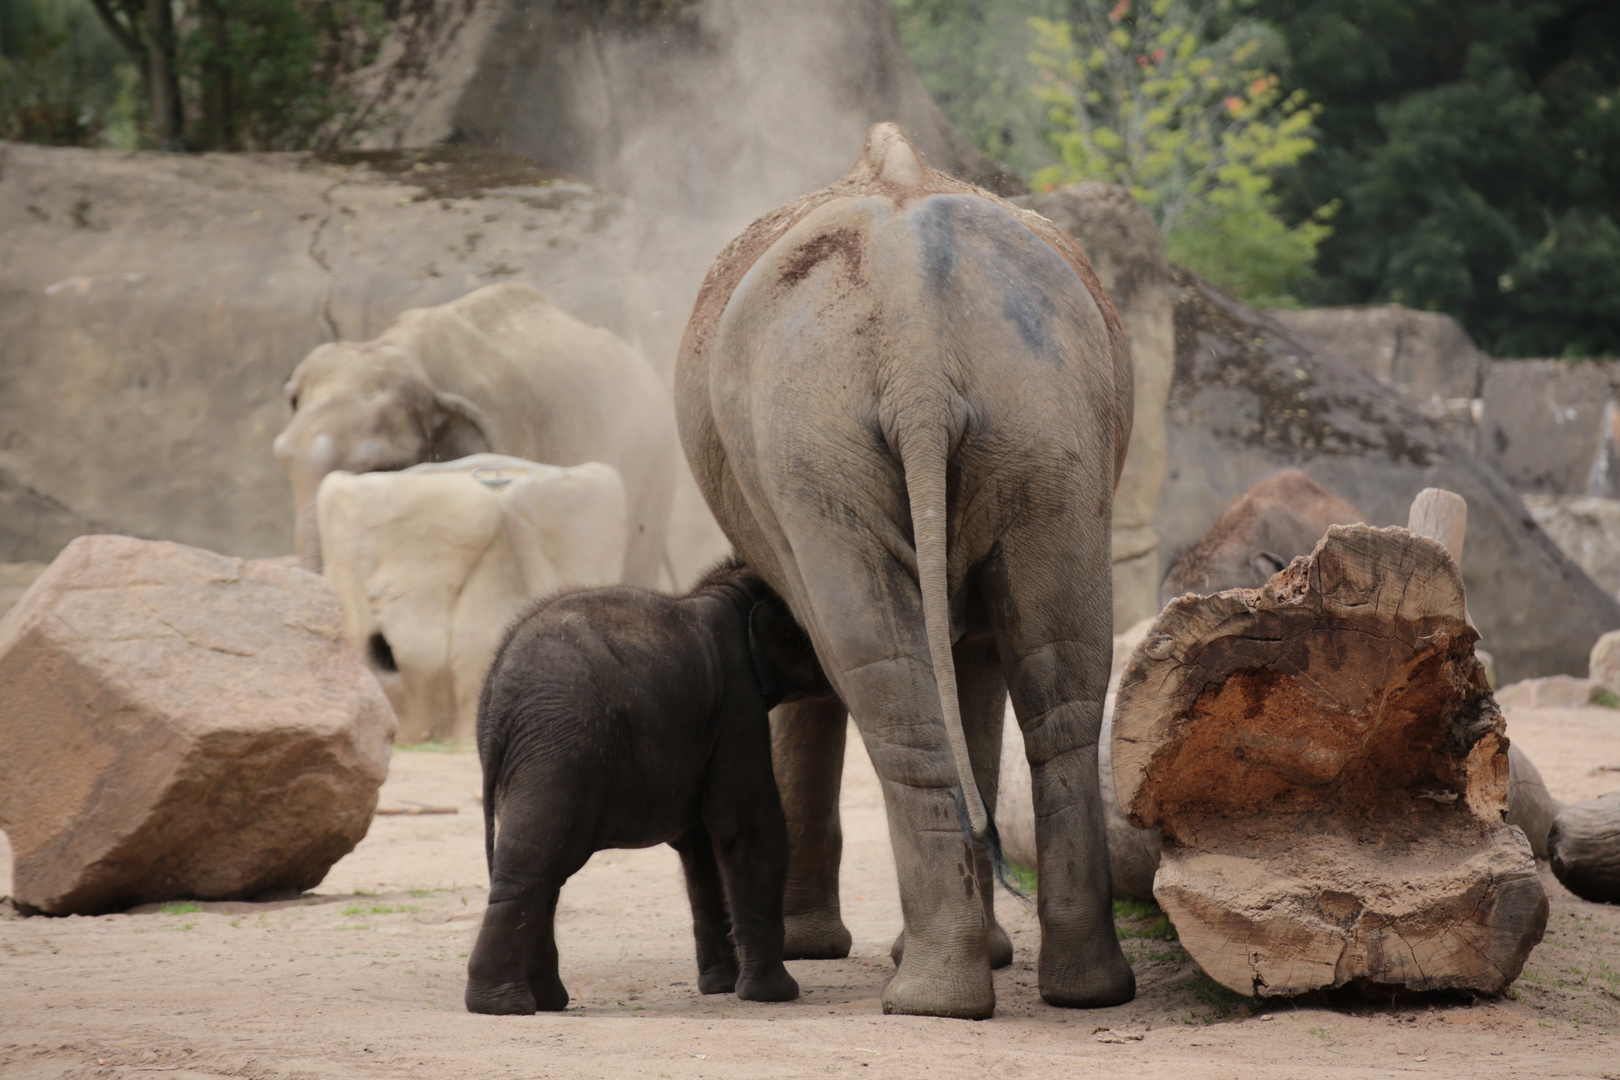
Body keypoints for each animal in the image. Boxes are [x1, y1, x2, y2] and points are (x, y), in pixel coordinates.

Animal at [466, 557, 822, 1016]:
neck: (727, 591)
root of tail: (496, 698)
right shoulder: (737, 706)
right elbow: (745, 828)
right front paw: (775, 995)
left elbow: (699, 843)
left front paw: (721, 988)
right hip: (559, 747)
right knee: (536, 859)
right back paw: (503, 1006)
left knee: (539, 865)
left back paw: (544, 1000)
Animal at [677, 124, 1134, 1023]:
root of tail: (917, 334)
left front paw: (806, 947)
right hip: (1040, 419)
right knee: (1058, 678)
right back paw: (1077, 991)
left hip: (822, 440)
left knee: (884, 678)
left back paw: (929, 998)